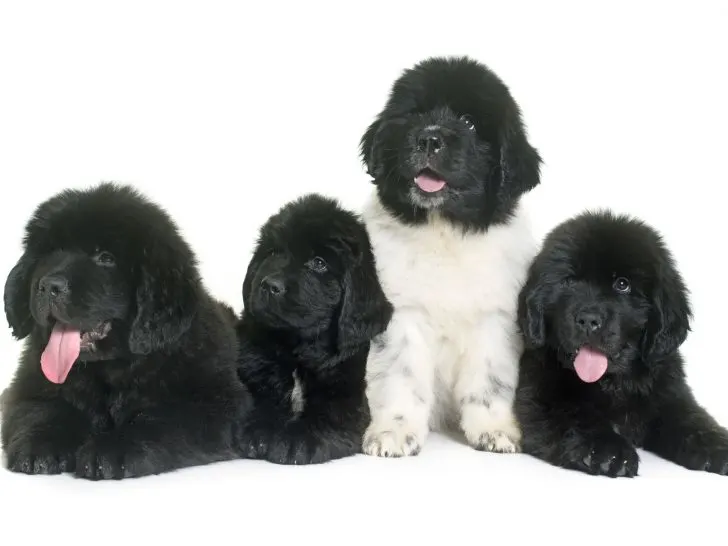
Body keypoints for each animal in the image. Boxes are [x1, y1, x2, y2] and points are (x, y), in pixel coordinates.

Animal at [2, 182, 250, 476]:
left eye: (105, 258)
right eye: (49, 253)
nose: (48, 285)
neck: (111, 370)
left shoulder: (212, 405)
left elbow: (158, 421)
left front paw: (110, 450)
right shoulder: (27, 387)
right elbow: (41, 410)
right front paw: (41, 444)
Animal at [235, 193, 392, 462]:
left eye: (319, 263)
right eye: (273, 252)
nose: (269, 285)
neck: (298, 347)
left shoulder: (347, 396)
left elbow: (328, 416)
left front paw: (297, 441)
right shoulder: (258, 368)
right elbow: (264, 397)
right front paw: (260, 431)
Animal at [358, 56, 540, 454]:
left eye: (469, 122)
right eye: (415, 114)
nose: (429, 137)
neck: (444, 231)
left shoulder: (495, 317)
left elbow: (489, 380)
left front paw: (494, 429)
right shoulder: (401, 315)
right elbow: (401, 376)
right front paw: (394, 431)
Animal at [516, 210, 728, 474]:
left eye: (623, 284)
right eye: (569, 281)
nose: (588, 320)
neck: (612, 383)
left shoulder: (671, 392)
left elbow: (690, 417)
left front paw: (716, 444)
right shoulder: (540, 398)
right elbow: (574, 413)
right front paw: (606, 449)